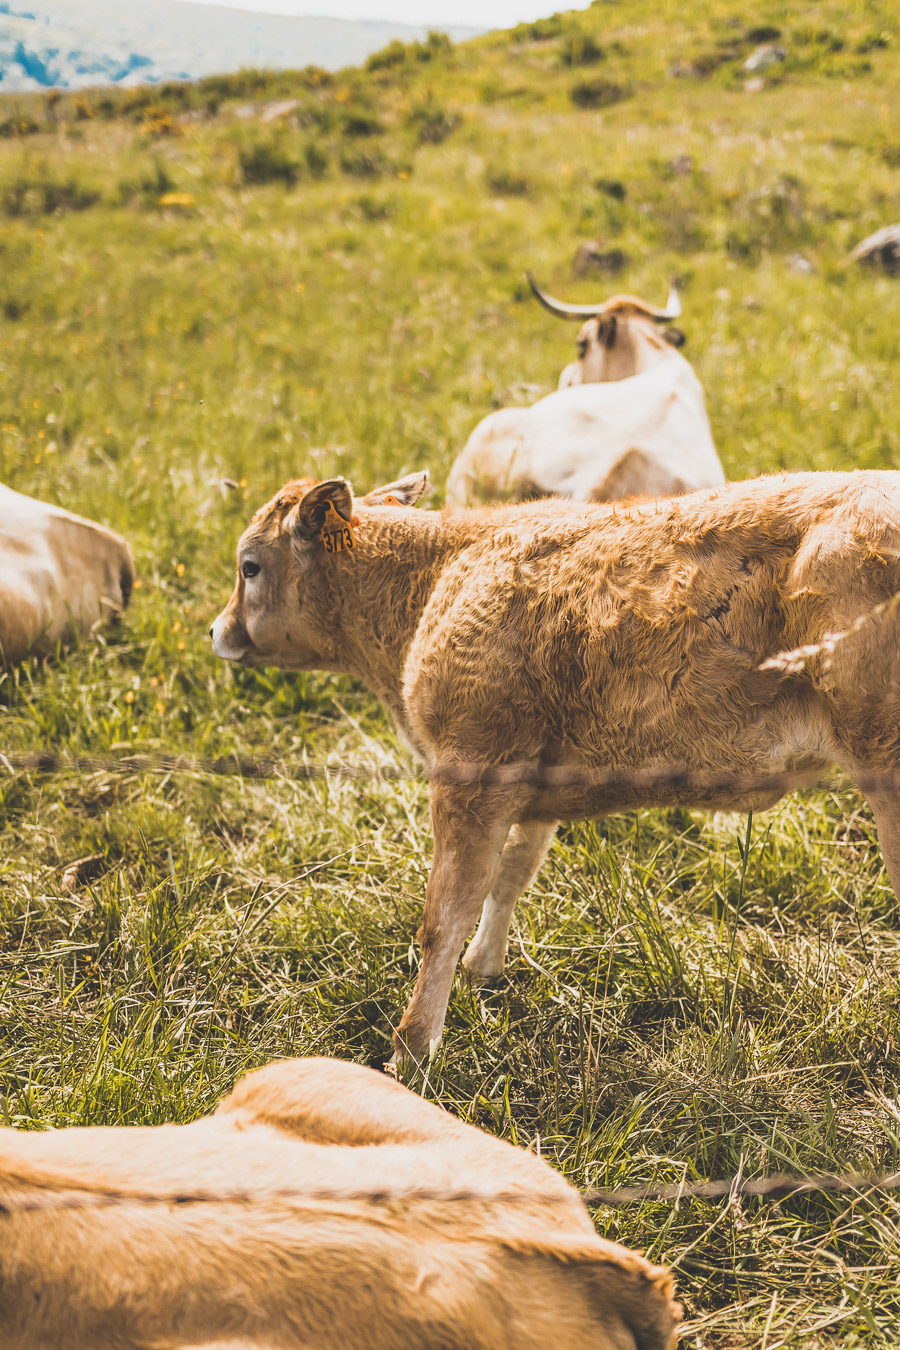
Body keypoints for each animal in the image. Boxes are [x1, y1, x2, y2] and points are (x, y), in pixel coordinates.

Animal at [213, 472, 900, 1063]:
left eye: (250, 565)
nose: (218, 631)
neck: (438, 577)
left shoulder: (470, 772)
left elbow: (445, 915)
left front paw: (411, 1049)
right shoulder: (534, 784)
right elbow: (511, 874)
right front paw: (483, 969)